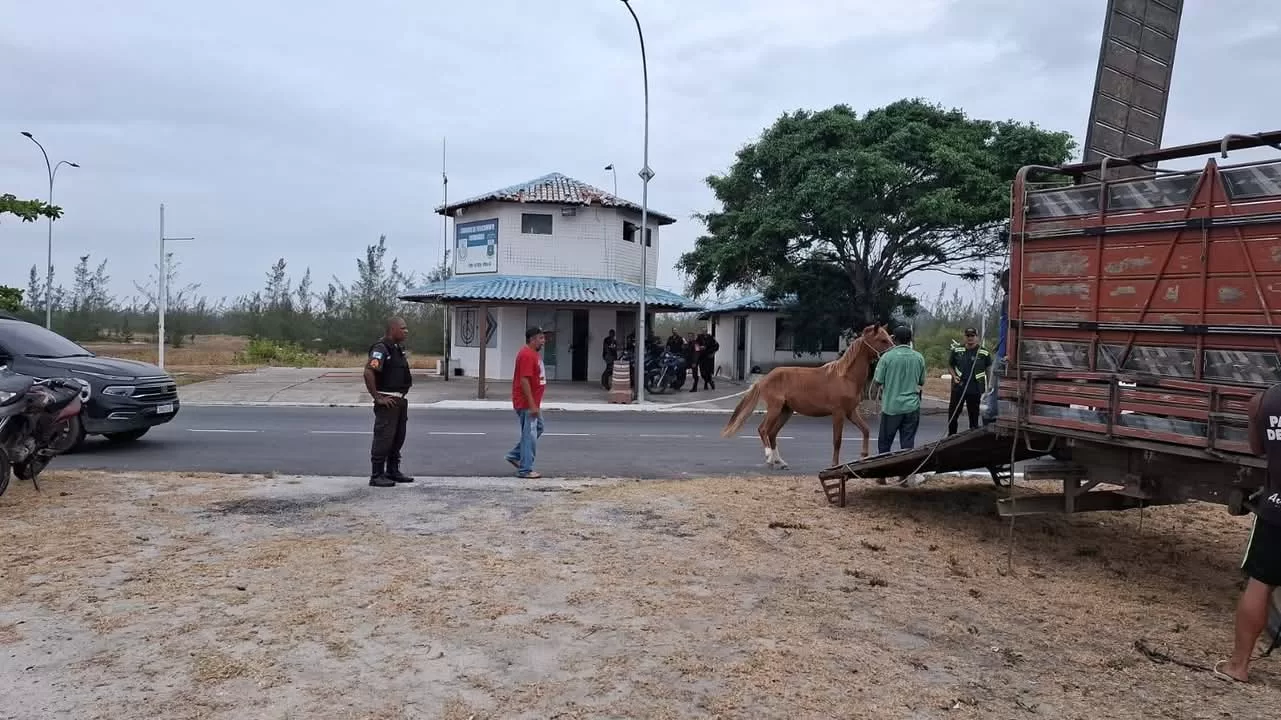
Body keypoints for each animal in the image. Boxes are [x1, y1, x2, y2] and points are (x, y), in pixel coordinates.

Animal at [727, 322, 896, 468]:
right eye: (882, 340)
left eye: (890, 338)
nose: (896, 351)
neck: (845, 377)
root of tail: (764, 379)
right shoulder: (838, 413)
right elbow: (837, 440)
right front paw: (834, 464)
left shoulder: (851, 412)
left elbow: (866, 430)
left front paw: (864, 456)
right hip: (775, 408)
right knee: (763, 430)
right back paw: (769, 456)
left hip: (786, 411)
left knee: (772, 433)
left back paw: (779, 461)